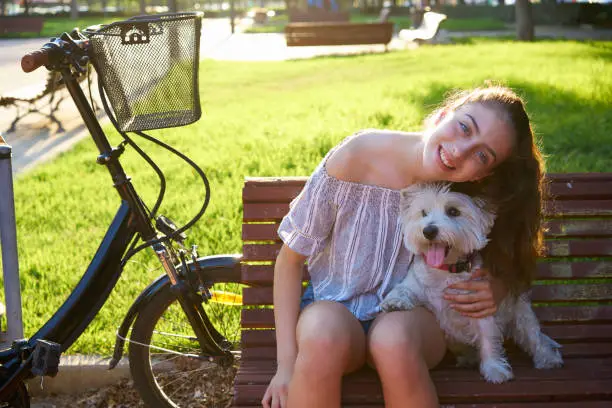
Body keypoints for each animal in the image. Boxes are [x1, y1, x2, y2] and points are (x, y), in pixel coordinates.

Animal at [382, 183, 564, 384]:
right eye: (423, 213)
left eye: (453, 211)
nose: (429, 231)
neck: (446, 271)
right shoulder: (416, 284)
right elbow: (403, 289)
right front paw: (393, 302)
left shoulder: (480, 307)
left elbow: (488, 340)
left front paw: (495, 369)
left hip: (521, 314)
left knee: (535, 337)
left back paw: (549, 359)